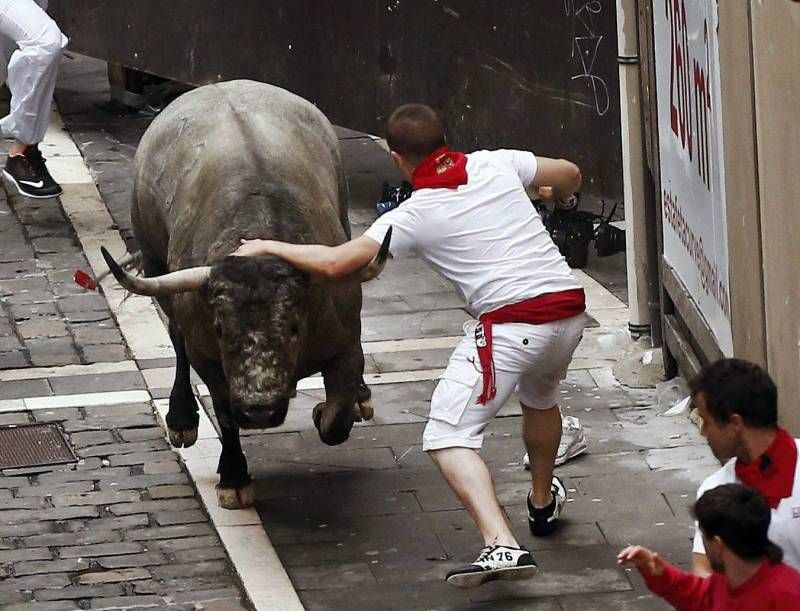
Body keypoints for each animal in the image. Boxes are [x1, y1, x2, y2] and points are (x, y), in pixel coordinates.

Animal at [101, 82, 390, 512]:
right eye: (221, 329)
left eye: (293, 327)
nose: (258, 410)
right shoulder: (210, 360)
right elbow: (223, 413)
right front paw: (234, 477)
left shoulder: (346, 345)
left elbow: (336, 422)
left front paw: (335, 405)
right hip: (155, 264)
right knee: (176, 338)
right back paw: (182, 419)